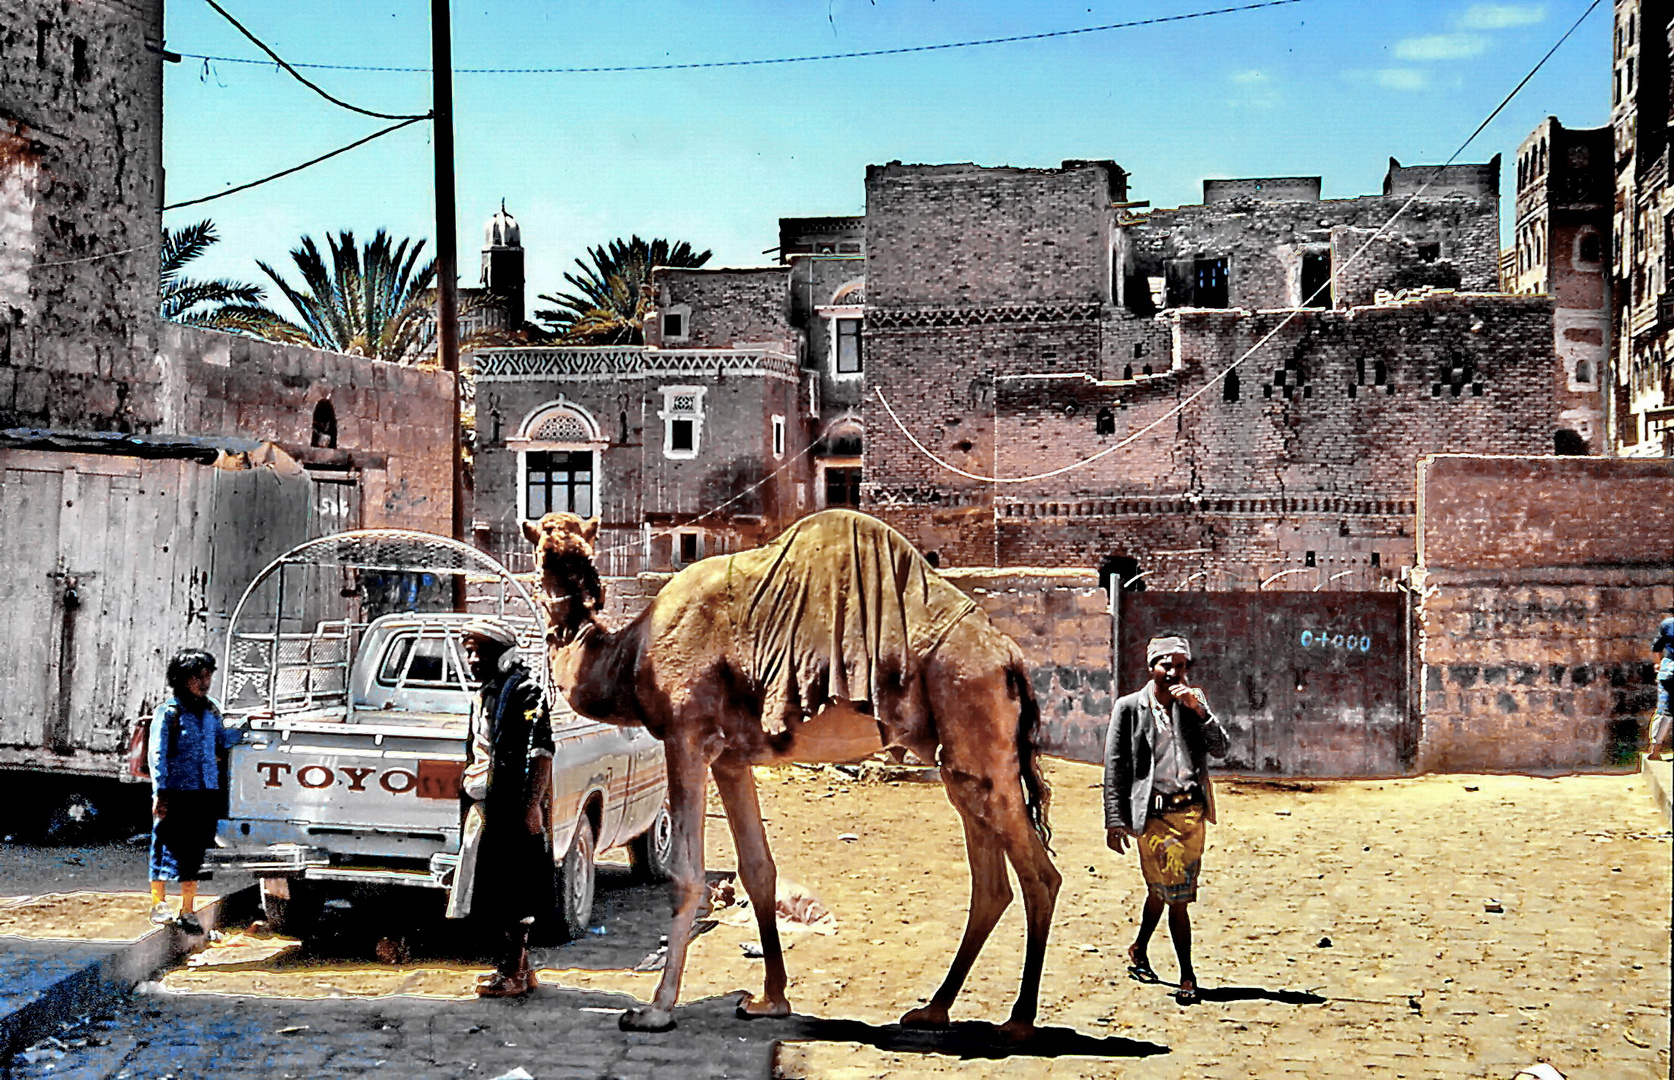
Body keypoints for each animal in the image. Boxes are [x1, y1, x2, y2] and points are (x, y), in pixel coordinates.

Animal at [522, 505, 1057, 1038]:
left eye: (562, 552)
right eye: (547, 551)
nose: (569, 597)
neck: (631, 655)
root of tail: (1011, 659)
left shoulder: (685, 737)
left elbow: (687, 874)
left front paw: (656, 1010)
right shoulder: (730, 758)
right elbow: (758, 870)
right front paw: (770, 1000)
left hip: (980, 737)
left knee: (1040, 876)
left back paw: (1019, 1020)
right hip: (960, 762)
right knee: (990, 883)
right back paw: (934, 1009)